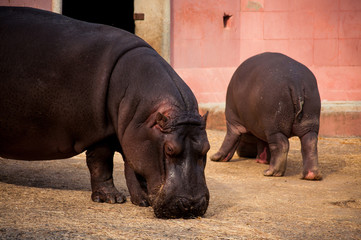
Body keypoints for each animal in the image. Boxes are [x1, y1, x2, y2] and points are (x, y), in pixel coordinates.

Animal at [0, 7, 210, 218]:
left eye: (207, 148)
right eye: (169, 149)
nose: (190, 206)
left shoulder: (133, 136)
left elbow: (133, 169)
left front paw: (142, 201)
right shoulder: (101, 133)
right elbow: (102, 164)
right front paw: (112, 199)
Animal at [211, 52, 320, 180]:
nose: (243, 153)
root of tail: (295, 81)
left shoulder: (234, 123)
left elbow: (229, 139)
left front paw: (215, 157)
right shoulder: (260, 128)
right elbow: (263, 143)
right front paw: (263, 160)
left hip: (274, 125)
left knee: (281, 145)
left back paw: (271, 172)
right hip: (308, 123)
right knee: (310, 143)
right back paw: (310, 175)